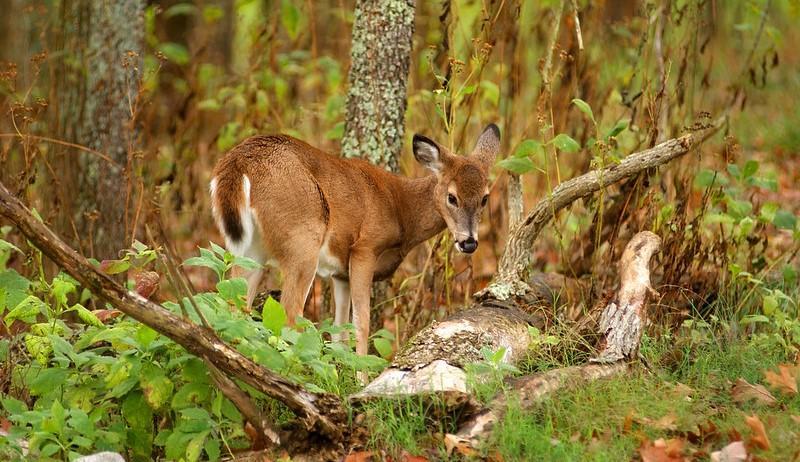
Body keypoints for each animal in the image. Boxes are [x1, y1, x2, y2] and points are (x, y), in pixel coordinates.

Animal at [212, 124, 500, 356]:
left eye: (485, 198)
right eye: (452, 197)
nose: (469, 242)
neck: (401, 210)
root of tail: (239, 163)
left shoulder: (341, 274)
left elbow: (340, 330)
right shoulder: (364, 249)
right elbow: (362, 324)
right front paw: (361, 379)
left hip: (249, 250)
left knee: (233, 303)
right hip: (303, 239)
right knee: (289, 316)